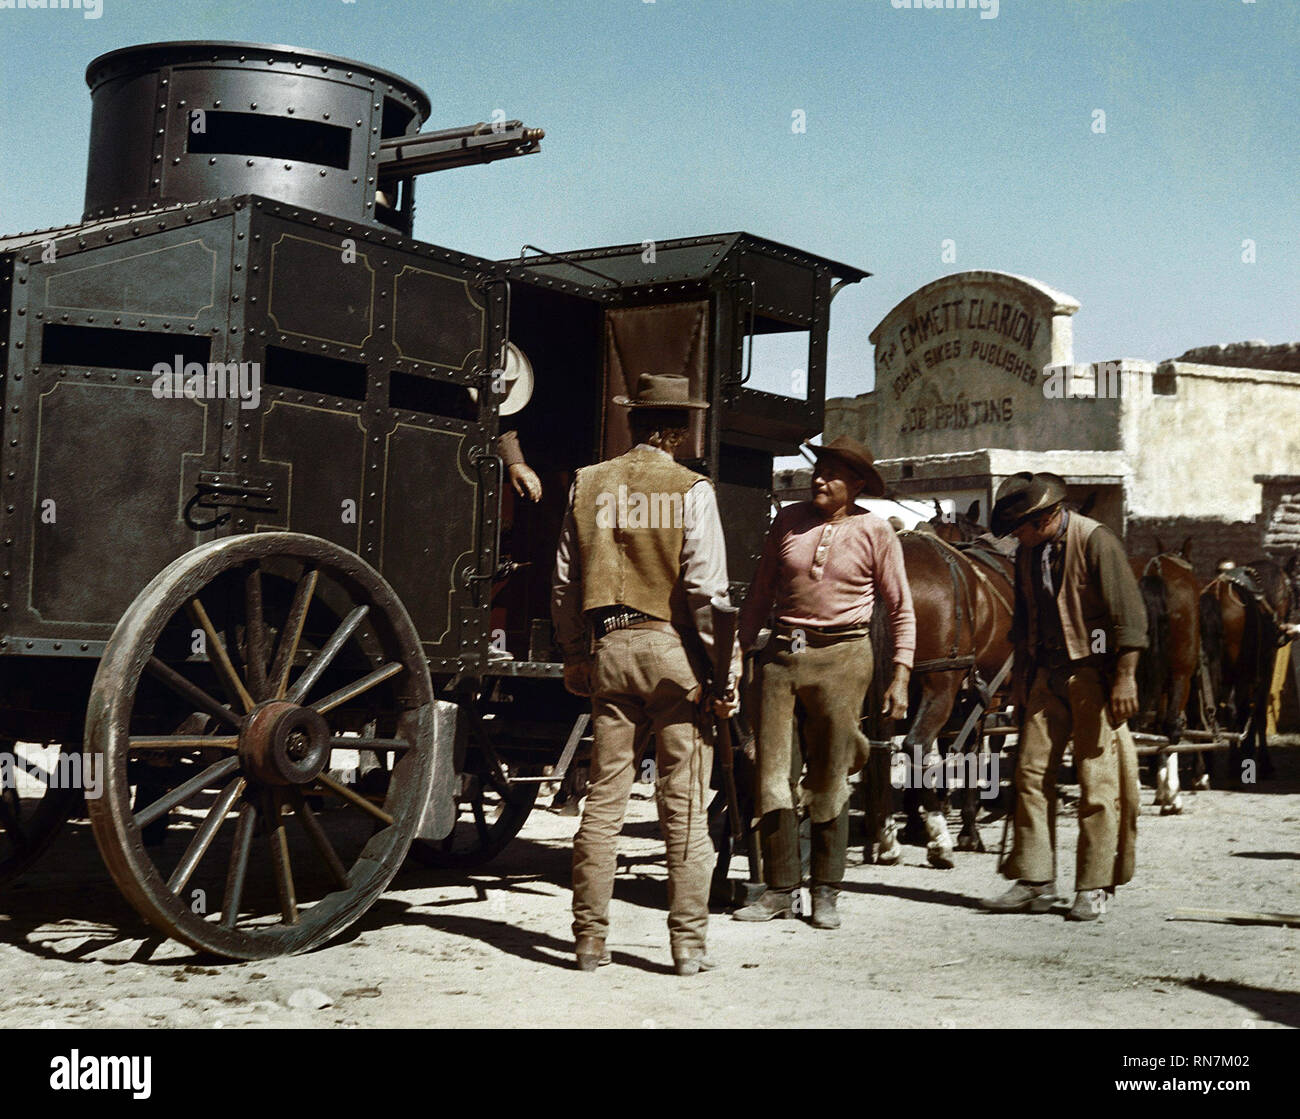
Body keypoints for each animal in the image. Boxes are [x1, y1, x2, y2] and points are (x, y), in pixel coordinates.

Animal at [1196, 548, 1300, 774]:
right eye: (1292, 590)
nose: (1284, 632)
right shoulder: (1265, 664)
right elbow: (1257, 709)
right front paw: (1261, 759)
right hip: (1241, 672)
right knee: (1236, 708)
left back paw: (1203, 765)